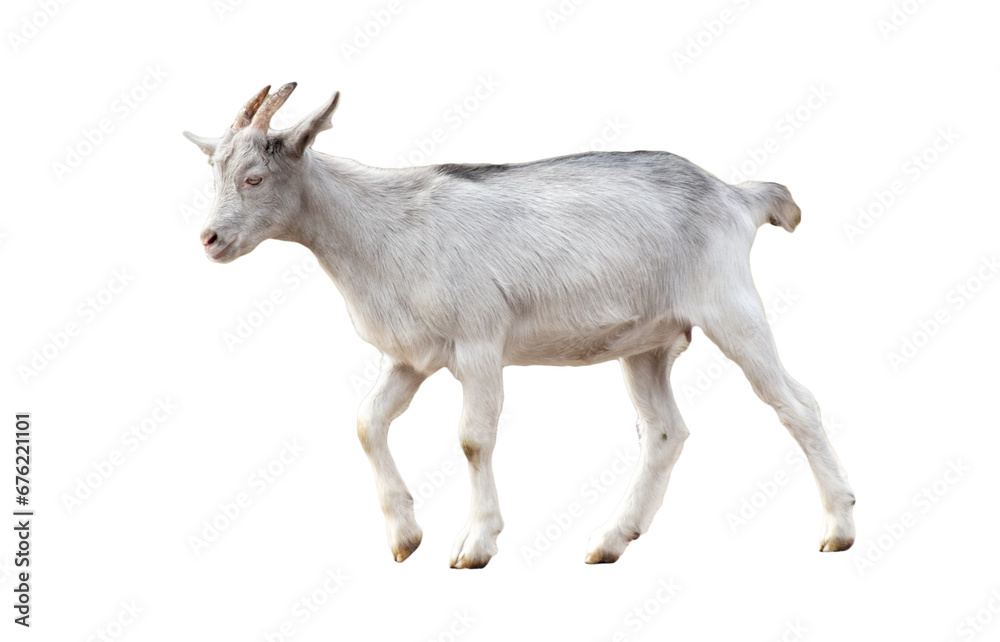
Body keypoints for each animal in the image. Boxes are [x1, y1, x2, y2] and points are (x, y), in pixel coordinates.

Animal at [184, 83, 855, 568]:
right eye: (214, 173)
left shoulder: (480, 342)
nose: (209, 239)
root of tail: (736, 195)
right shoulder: (411, 357)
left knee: (796, 403)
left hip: (730, 308)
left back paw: (838, 528)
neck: (382, 225)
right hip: (647, 342)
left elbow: (473, 438)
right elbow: (367, 422)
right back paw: (610, 541)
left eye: (254, 177)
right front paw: (405, 538)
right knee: (665, 432)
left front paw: (474, 546)